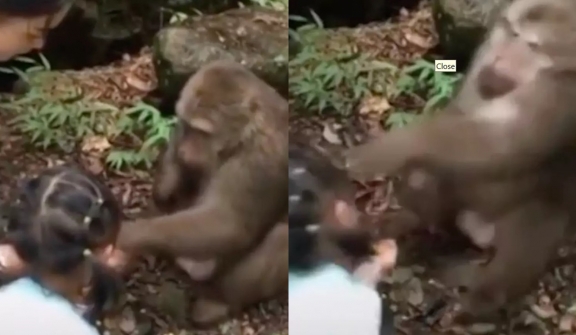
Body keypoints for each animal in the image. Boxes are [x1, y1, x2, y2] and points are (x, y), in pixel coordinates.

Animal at [116, 59, 288, 326]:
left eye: (203, 132)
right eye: (187, 126)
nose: (187, 150)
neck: (242, 137)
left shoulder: (259, 162)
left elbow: (229, 223)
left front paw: (128, 234)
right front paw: (166, 184)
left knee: (282, 235)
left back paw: (219, 300)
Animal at [344, 0, 576, 322]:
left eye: (530, 45)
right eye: (511, 32)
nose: (502, 59)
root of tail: (480, 231)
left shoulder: (562, 91)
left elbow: (503, 144)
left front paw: (381, 152)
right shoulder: (486, 51)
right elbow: (462, 116)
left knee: (532, 226)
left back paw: (483, 297)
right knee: (425, 175)